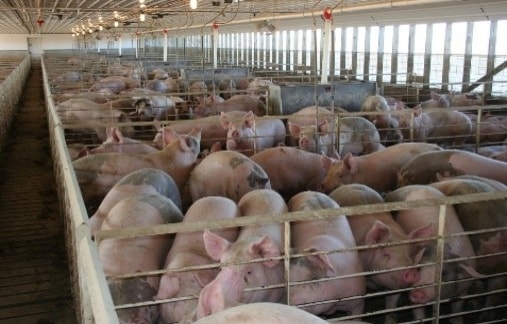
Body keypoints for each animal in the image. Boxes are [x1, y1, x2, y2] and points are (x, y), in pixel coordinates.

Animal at [386, 185, 482, 322]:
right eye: (419, 268)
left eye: (443, 273)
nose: (418, 292)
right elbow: (418, 314)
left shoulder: (463, 289)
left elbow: (457, 308)